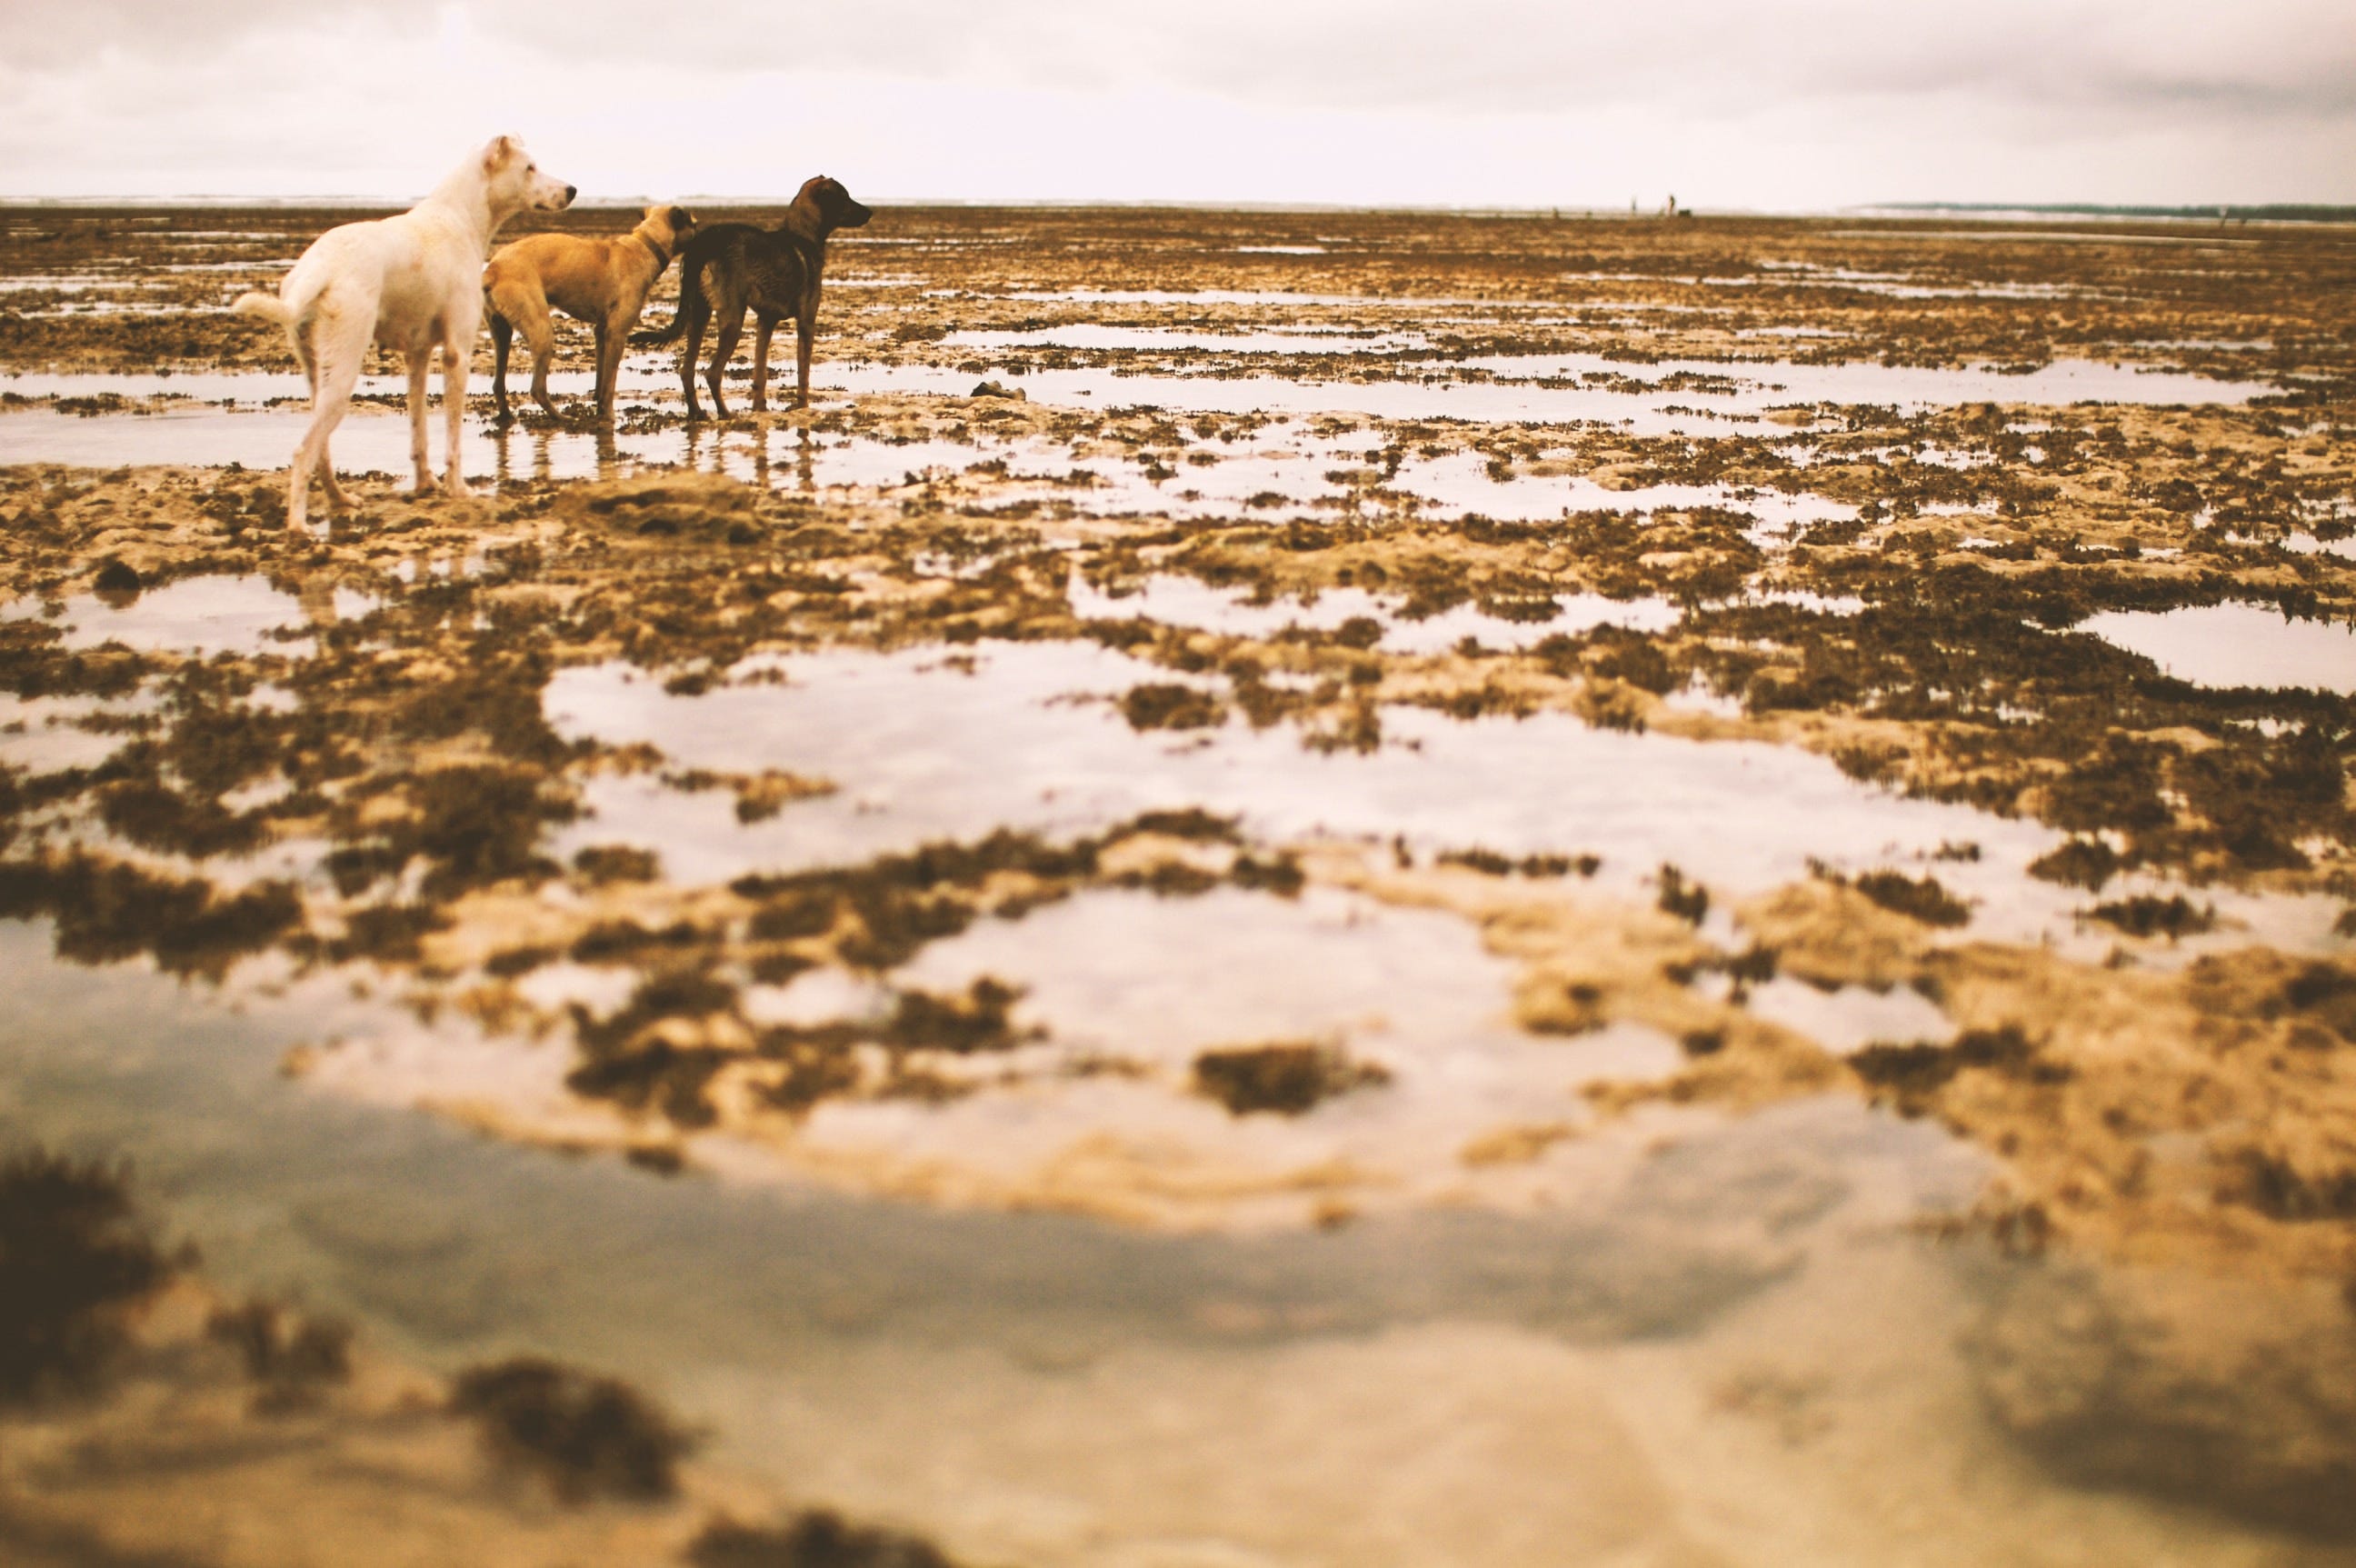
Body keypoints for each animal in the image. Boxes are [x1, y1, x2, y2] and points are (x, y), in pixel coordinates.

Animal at [232, 135, 572, 524]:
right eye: (530, 168)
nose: (572, 190)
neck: (460, 219)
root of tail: (319, 268)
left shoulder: (418, 355)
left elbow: (418, 430)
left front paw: (426, 484)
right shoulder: (458, 353)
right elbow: (452, 436)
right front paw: (458, 489)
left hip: (317, 372)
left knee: (322, 450)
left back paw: (341, 499)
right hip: (344, 369)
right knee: (304, 452)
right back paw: (298, 527)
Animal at [483, 201, 693, 424]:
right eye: (695, 224)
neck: (645, 245)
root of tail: (492, 271)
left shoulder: (601, 332)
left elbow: (601, 378)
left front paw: (599, 406)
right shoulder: (617, 334)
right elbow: (610, 383)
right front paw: (609, 415)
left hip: (501, 333)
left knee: (498, 384)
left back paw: (507, 417)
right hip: (541, 331)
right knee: (537, 389)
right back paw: (562, 418)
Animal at [631, 174, 872, 414]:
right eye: (844, 197)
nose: (870, 212)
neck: (802, 235)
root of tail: (706, 241)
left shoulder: (765, 321)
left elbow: (759, 372)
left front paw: (759, 408)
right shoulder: (806, 322)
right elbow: (803, 374)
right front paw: (802, 407)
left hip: (699, 314)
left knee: (686, 370)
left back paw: (697, 414)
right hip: (732, 318)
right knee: (712, 373)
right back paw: (725, 414)